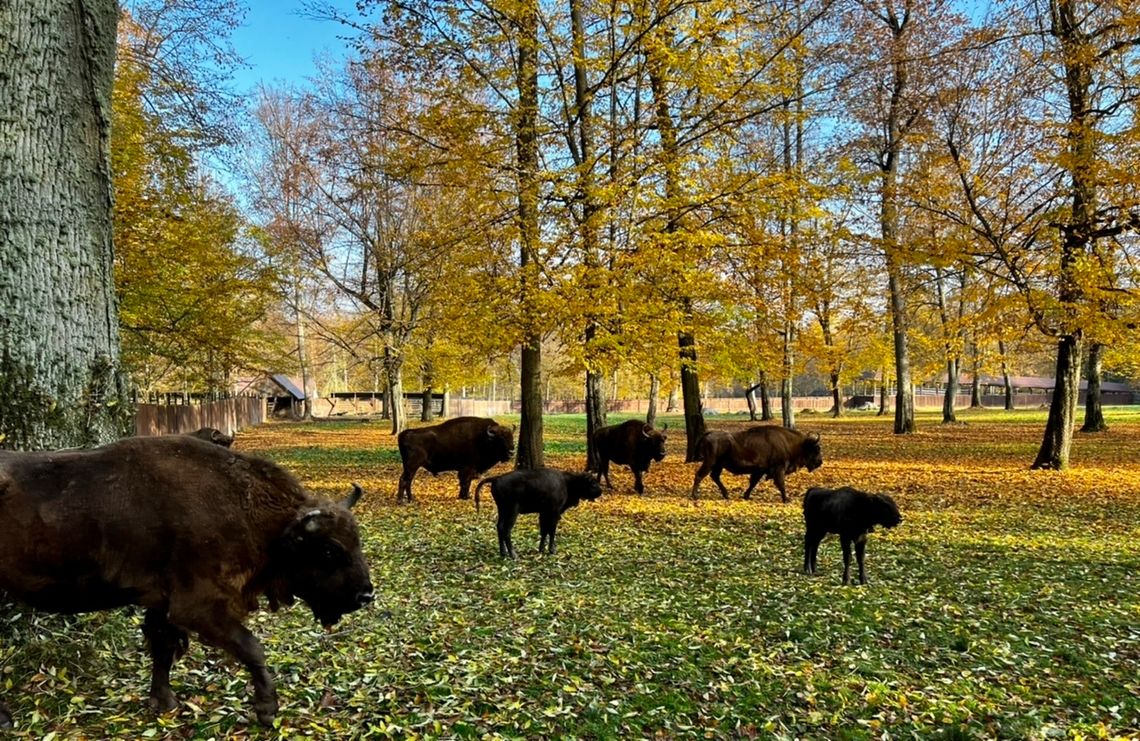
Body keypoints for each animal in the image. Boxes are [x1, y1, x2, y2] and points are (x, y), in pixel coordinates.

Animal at [0, 435, 373, 725]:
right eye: (329, 550)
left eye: (356, 539)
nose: (365, 596)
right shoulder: (198, 607)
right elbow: (251, 646)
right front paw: (267, 710)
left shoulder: (163, 603)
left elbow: (163, 648)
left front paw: (164, 702)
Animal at [474, 467, 606, 554]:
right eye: (593, 483)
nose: (600, 491)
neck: (568, 482)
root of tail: (496, 478)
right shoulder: (554, 512)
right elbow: (551, 531)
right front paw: (552, 550)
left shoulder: (543, 513)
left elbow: (544, 531)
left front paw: (541, 549)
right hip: (512, 511)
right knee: (506, 529)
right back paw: (513, 554)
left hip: (502, 510)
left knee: (499, 526)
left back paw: (503, 553)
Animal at [684, 424, 820, 499]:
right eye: (817, 449)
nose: (820, 462)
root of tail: (708, 433)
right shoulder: (779, 469)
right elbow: (781, 484)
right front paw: (787, 499)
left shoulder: (759, 471)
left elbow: (753, 483)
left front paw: (746, 496)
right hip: (710, 462)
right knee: (700, 475)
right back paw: (695, 496)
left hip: (718, 465)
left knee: (714, 476)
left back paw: (726, 495)